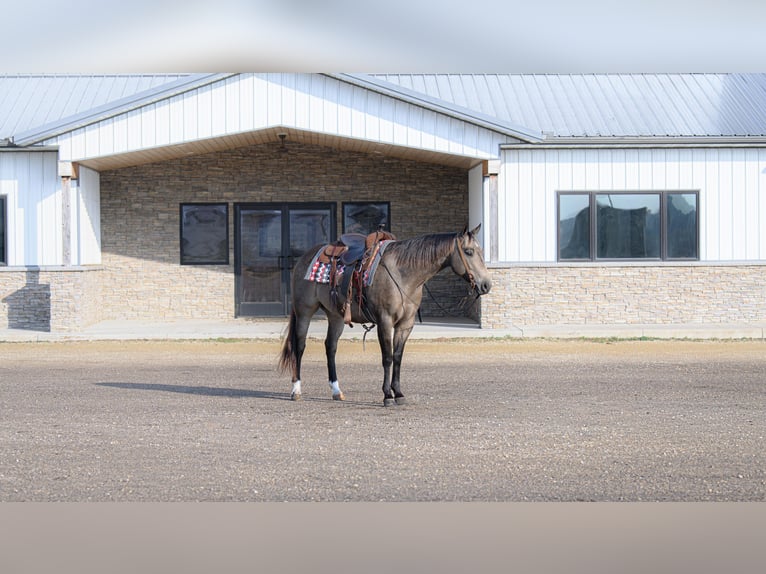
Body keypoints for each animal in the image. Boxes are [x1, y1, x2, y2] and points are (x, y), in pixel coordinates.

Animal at [278, 224, 492, 406]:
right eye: (469, 251)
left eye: (482, 252)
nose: (486, 285)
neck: (403, 273)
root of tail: (305, 256)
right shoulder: (385, 321)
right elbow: (387, 358)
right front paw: (387, 396)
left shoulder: (405, 324)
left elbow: (397, 357)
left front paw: (399, 394)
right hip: (304, 310)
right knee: (299, 346)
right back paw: (296, 390)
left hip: (336, 315)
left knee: (330, 347)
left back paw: (337, 391)